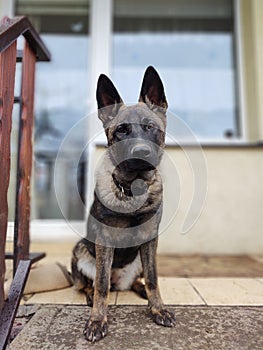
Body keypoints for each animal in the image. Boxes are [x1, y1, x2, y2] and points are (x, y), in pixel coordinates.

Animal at [71, 65, 176, 342]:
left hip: (138, 258)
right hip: (81, 251)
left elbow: (153, 278)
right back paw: (90, 294)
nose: (141, 153)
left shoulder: (150, 240)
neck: (133, 189)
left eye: (149, 127)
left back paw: (139, 289)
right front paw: (97, 320)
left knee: (139, 279)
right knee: (91, 283)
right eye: (122, 130)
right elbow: (101, 284)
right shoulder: (104, 242)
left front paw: (158, 309)